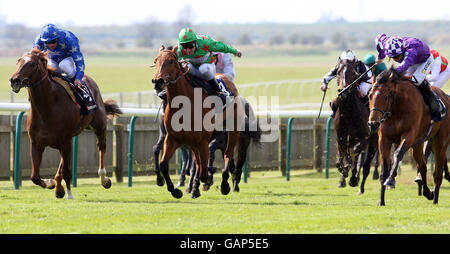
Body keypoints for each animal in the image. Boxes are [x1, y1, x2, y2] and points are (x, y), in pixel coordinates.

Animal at [9, 48, 121, 199]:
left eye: (32, 64)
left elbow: (67, 171)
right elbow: (35, 176)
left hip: (98, 126)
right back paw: (58, 187)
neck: (47, 108)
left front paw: (69, 194)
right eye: (18, 61)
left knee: (101, 146)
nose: (14, 80)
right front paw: (51, 184)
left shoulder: (66, 141)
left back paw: (104, 179)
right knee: (61, 162)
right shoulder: (37, 143)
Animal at [151, 46, 244, 199]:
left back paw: (224, 184)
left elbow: (203, 172)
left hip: (233, 130)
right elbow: (164, 164)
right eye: (155, 61)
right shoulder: (172, 138)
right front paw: (175, 191)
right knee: (198, 162)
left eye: (171, 61)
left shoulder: (203, 141)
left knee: (227, 154)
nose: (158, 81)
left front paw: (206, 179)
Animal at [370, 67, 450, 206]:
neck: (397, 108)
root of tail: (446, 97)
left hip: (440, 142)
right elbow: (384, 166)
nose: (373, 123)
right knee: (423, 166)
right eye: (370, 96)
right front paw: (381, 200)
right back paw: (427, 193)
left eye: (385, 97)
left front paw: (391, 180)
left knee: (437, 174)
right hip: (417, 145)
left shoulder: (408, 135)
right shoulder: (384, 139)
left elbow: (398, 154)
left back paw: (435, 199)